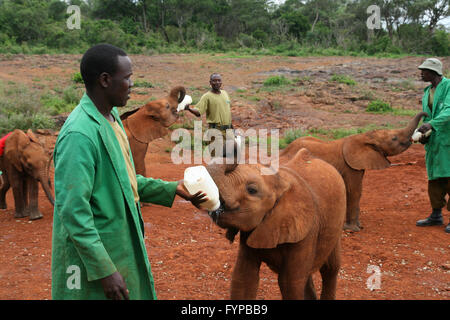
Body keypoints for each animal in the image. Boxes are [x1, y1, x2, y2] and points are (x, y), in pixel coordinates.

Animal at [206, 149, 346, 298]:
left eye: (252, 190)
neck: (280, 181)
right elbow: (244, 277)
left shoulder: (307, 232)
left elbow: (290, 284)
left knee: (330, 269)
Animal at [280, 111, 428, 231]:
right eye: (394, 138)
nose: (426, 115)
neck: (365, 136)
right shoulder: (349, 166)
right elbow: (354, 191)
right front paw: (353, 229)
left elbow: (359, 191)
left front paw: (359, 226)